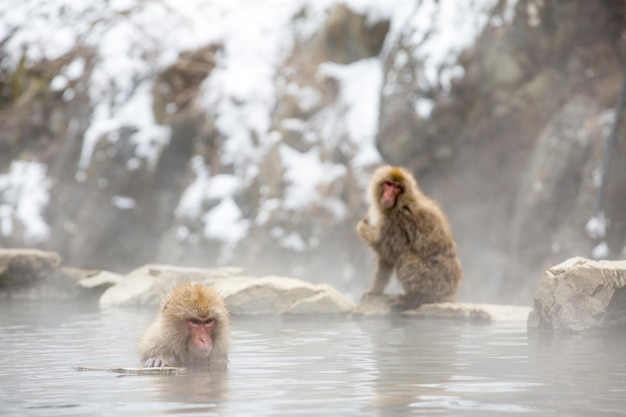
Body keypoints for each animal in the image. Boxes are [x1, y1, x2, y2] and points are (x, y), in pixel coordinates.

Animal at [356, 165, 458, 308]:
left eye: (397, 187)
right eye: (388, 184)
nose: (389, 194)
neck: (400, 203)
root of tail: (450, 292)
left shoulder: (396, 220)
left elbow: (389, 250)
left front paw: (362, 227)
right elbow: (385, 259)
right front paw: (374, 290)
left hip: (434, 281)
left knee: (405, 255)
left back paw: (414, 298)